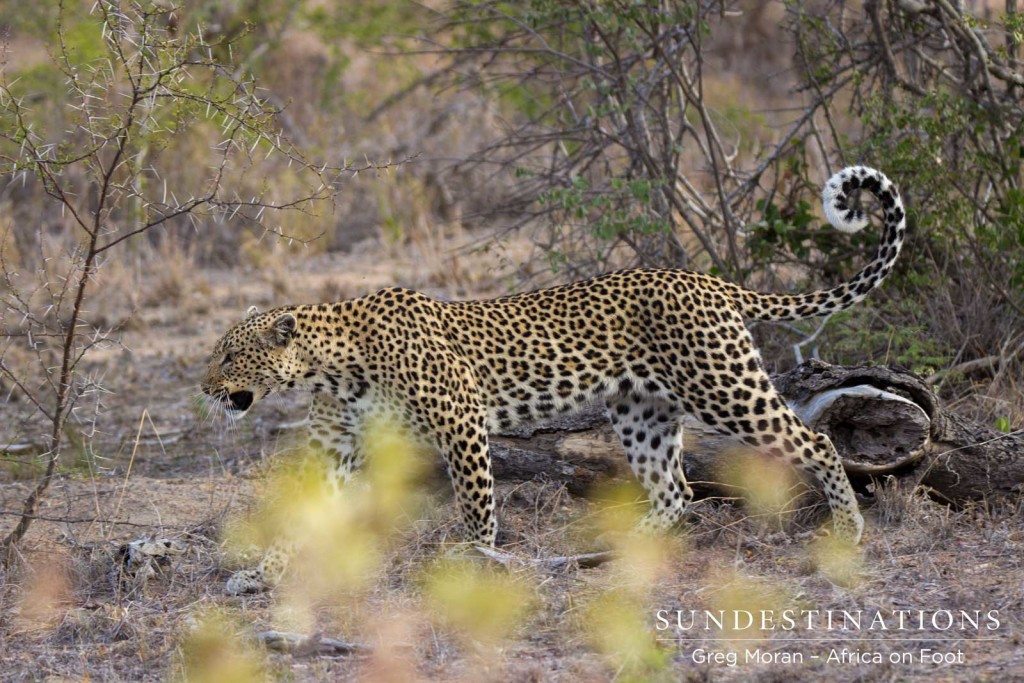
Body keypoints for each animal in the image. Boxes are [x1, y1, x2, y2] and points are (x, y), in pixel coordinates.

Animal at [203, 165, 909, 593]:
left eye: (230, 358)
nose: (206, 389)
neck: (330, 366)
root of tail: (709, 280)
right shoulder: (337, 449)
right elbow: (301, 515)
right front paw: (260, 573)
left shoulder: (460, 421)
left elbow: (476, 501)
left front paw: (474, 556)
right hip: (641, 412)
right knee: (674, 491)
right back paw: (611, 553)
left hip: (723, 386)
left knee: (815, 442)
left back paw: (848, 531)